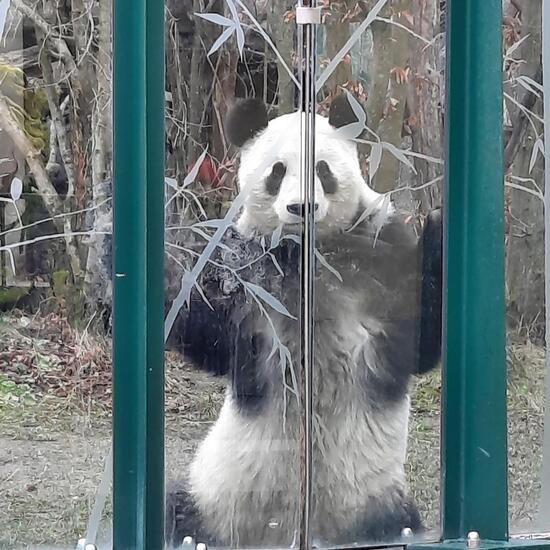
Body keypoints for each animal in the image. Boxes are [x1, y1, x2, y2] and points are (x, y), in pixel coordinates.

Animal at [165, 96, 444, 550]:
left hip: (374, 503)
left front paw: (439, 222)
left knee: (400, 524)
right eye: (277, 172)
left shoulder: (377, 253)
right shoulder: (249, 271)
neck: (306, 254)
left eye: (323, 169)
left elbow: (417, 337)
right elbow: (209, 331)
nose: (302, 208)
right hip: (217, 499)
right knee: (179, 513)